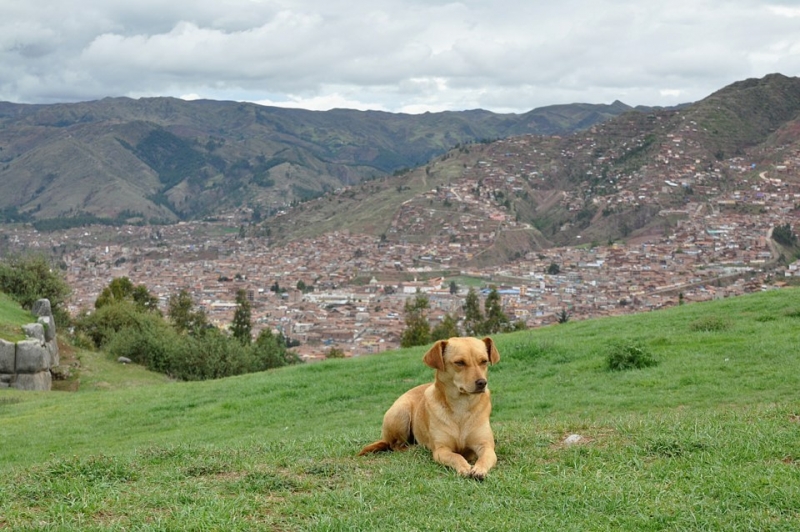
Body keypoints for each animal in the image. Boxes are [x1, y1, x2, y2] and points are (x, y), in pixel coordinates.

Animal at [358, 338, 500, 480]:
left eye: (484, 361)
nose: (482, 382)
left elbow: (485, 457)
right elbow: (456, 456)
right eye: (459, 362)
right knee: (395, 445)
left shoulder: (486, 446)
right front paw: (464, 467)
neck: (461, 406)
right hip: (400, 413)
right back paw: (414, 448)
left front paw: (479, 469)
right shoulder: (441, 450)